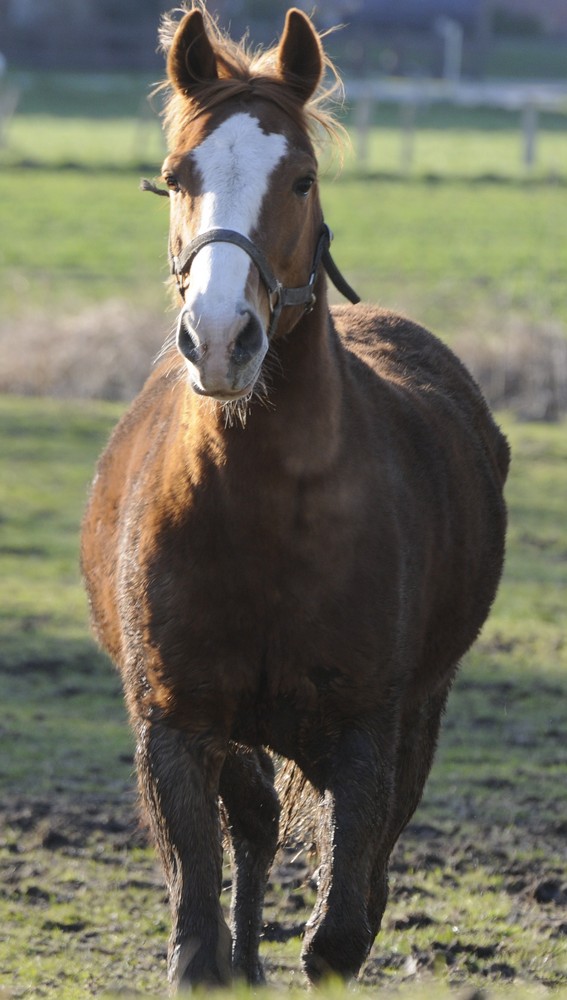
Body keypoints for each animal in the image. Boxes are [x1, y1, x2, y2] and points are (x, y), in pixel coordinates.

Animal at [81, 3, 510, 992]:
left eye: (302, 178)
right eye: (176, 177)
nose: (219, 338)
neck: (267, 512)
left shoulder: (366, 729)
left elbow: (339, 936)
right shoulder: (177, 728)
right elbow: (199, 939)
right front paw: (227, 959)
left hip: (414, 716)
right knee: (256, 826)